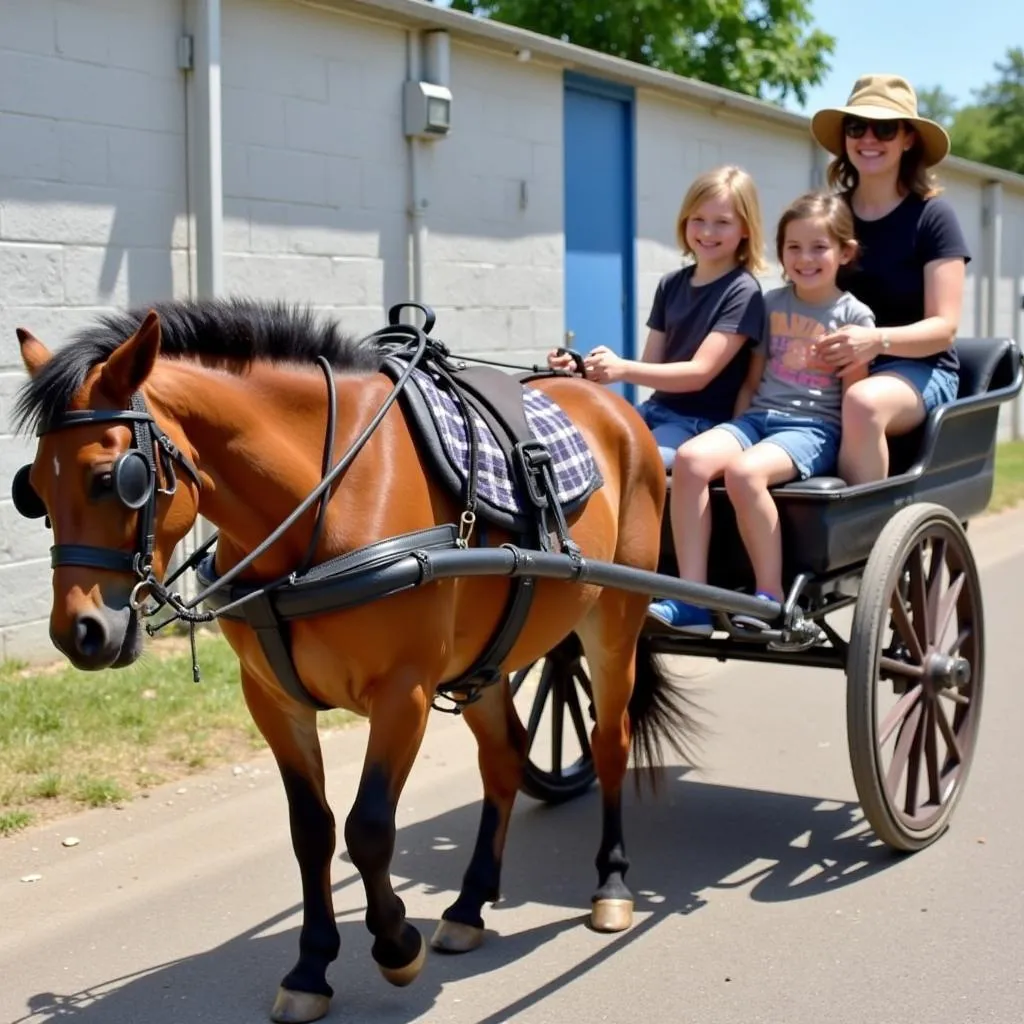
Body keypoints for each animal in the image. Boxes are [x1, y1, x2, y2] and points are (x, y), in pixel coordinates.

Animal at [12, 299, 692, 1024]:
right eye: (34, 490)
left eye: (115, 479)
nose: (80, 634)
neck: (327, 497)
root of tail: (615, 406)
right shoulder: (273, 700)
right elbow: (311, 830)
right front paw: (312, 968)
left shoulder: (404, 693)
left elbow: (368, 828)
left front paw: (395, 945)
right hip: (487, 662)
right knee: (505, 758)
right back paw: (469, 905)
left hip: (613, 621)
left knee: (611, 740)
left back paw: (611, 885)